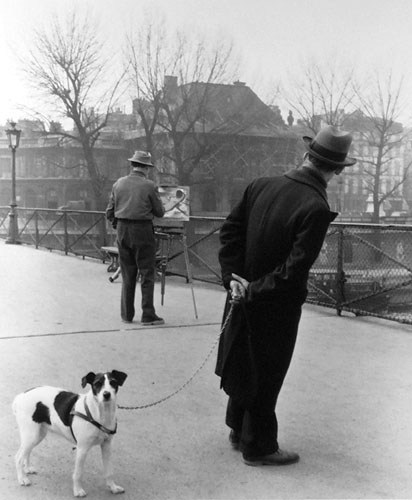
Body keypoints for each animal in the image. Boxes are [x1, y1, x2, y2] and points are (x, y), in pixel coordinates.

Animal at [12, 370, 127, 498]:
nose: (106, 394)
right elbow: (78, 473)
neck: (99, 414)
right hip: (31, 435)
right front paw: (77, 490)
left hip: (37, 435)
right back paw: (22, 478)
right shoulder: (82, 448)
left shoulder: (106, 446)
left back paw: (27, 469)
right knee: (18, 457)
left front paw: (113, 488)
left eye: (113, 382)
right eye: (97, 384)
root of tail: (20, 396)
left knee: (26, 452)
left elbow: (109, 471)